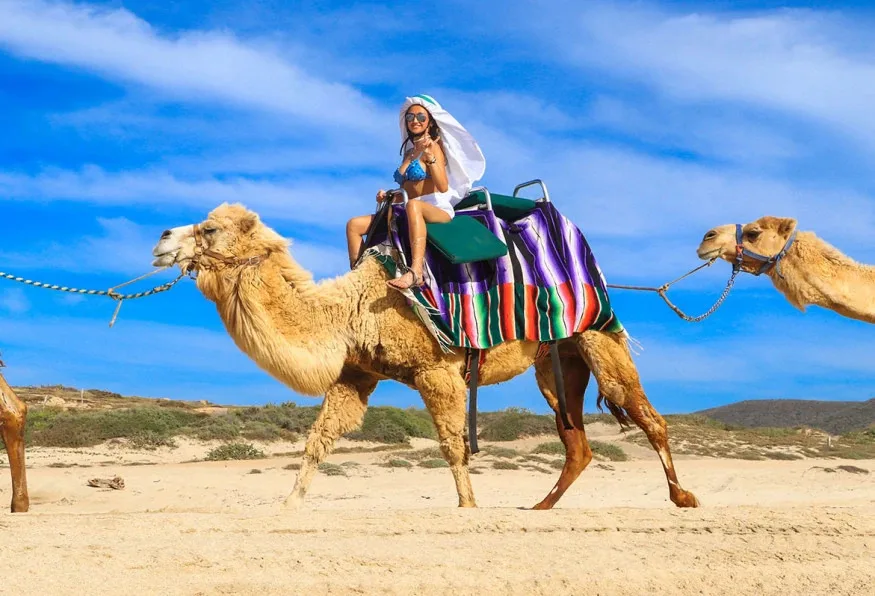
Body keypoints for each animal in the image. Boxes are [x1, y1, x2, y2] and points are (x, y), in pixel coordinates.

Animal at [151, 203, 699, 510]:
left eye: (210, 230)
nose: (161, 239)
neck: (356, 307)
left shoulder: (437, 370)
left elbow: (453, 447)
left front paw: (468, 506)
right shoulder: (355, 374)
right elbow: (318, 441)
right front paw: (289, 504)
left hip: (597, 335)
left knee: (645, 414)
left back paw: (683, 496)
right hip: (555, 358)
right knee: (577, 441)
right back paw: (541, 506)